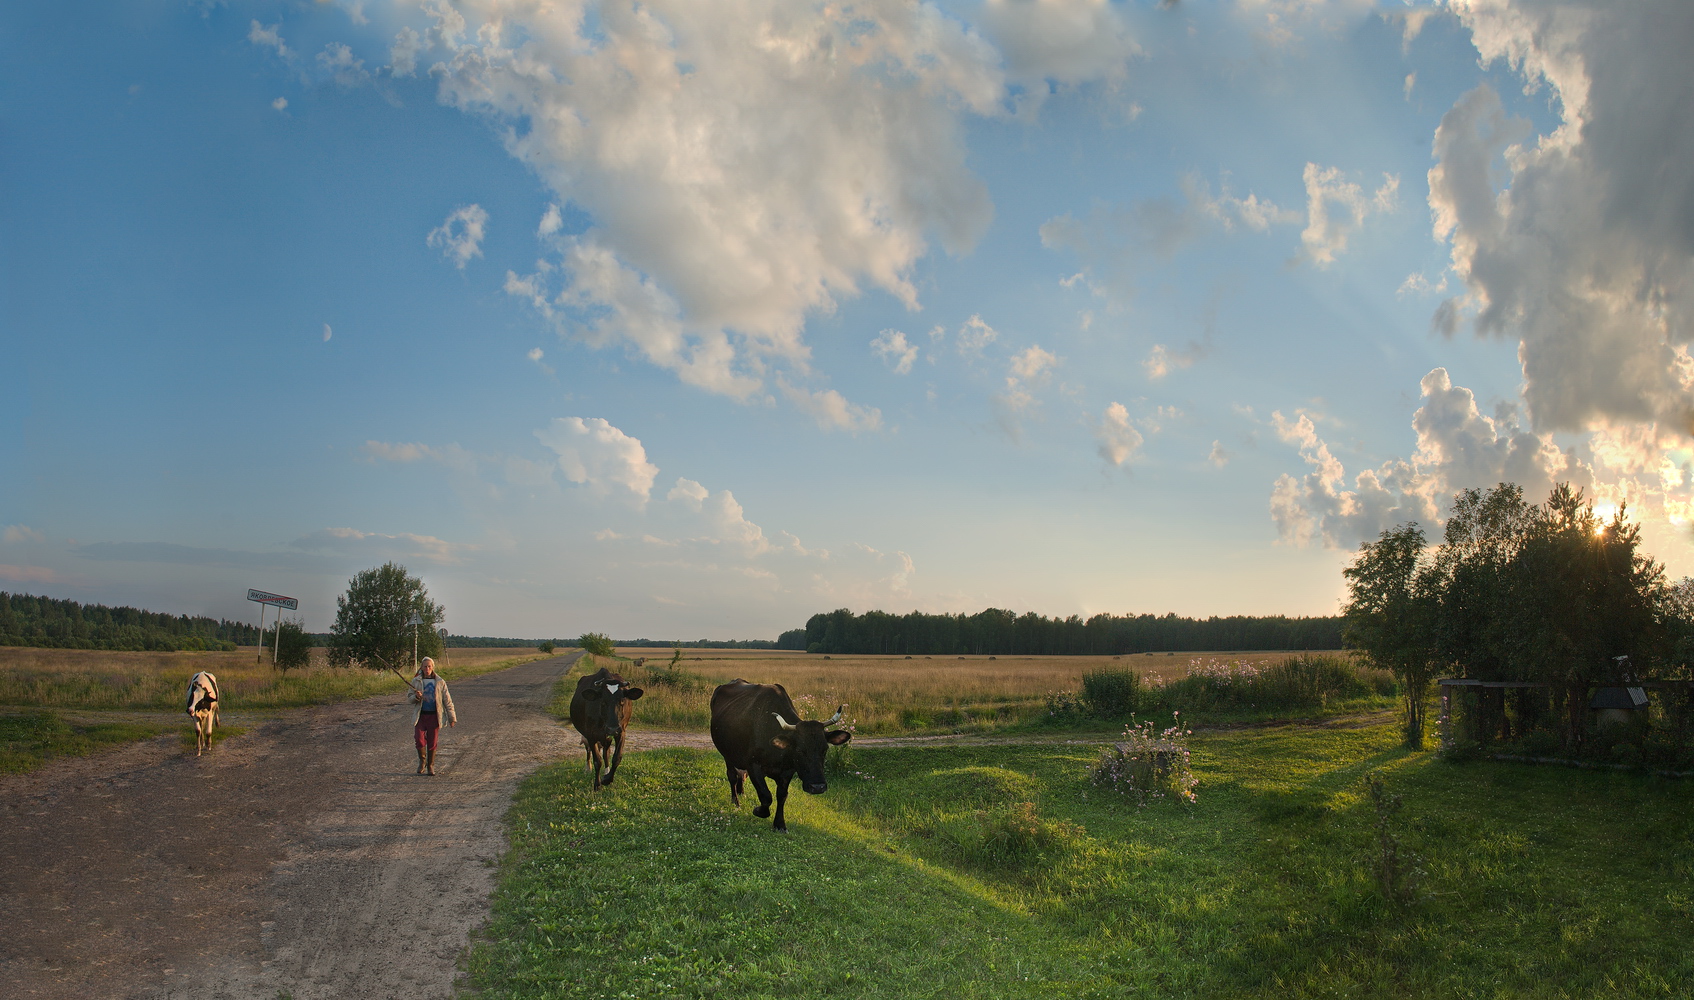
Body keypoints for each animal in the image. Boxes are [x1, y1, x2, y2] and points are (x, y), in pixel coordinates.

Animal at [711, 677, 853, 833]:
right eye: (799, 750)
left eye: (825, 749)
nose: (818, 787)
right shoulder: (753, 765)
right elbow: (766, 795)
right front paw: (758, 810)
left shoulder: (787, 771)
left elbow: (782, 796)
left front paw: (780, 824)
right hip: (727, 754)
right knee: (732, 776)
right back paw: (735, 801)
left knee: (741, 775)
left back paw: (741, 792)